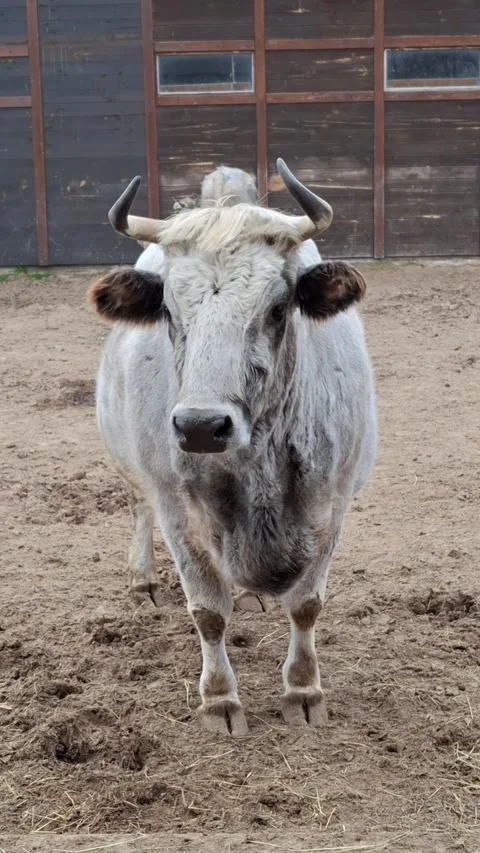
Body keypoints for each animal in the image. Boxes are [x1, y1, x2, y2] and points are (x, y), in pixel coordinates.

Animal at [88, 159, 376, 736]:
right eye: (168, 311)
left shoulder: (333, 506)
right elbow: (207, 612)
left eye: (279, 307)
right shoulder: (178, 512)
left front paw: (303, 691)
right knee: (137, 508)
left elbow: (306, 604)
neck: (257, 466)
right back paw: (142, 581)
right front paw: (220, 699)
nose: (201, 426)